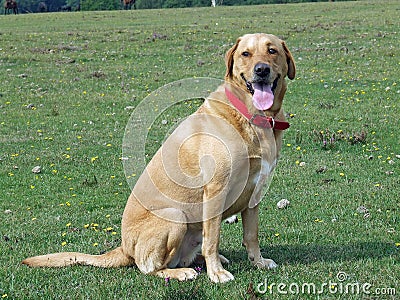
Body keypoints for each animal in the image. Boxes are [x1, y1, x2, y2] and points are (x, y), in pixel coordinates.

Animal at [23, 33, 296, 284]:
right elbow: (213, 239)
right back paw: (183, 271)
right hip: (175, 216)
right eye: (245, 54)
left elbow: (251, 235)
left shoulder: (255, 192)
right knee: (149, 267)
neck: (254, 117)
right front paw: (216, 273)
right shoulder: (216, 190)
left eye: (272, 50)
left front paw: (258, 262)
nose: (261, 70)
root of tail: (124, 248)